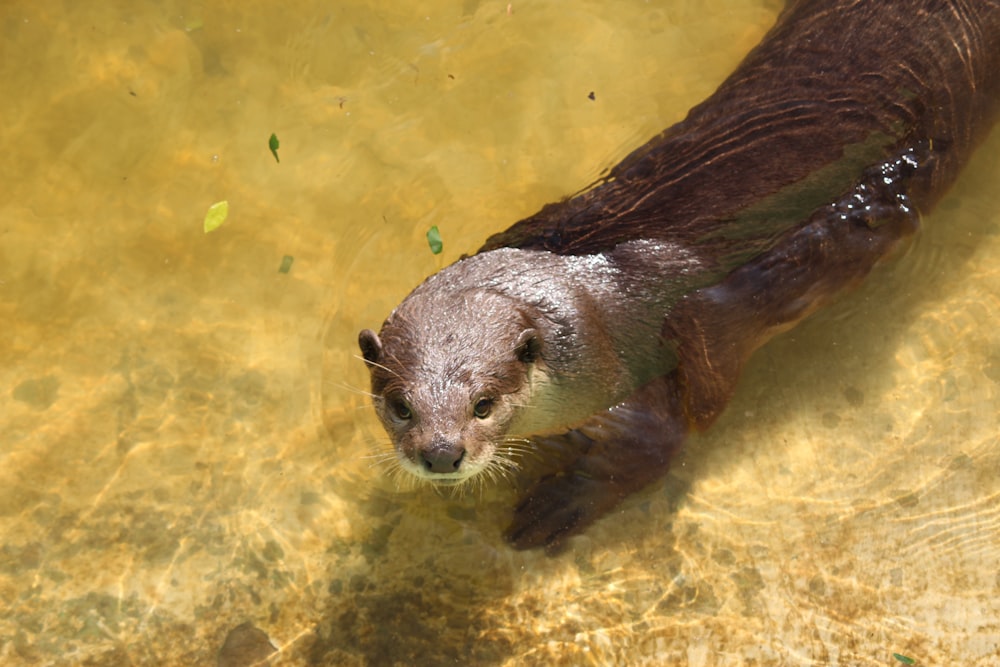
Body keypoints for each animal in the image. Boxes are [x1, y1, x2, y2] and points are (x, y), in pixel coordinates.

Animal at [360, 0, 1000, 552]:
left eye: (484, 404)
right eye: (400, 406)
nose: (442, 454)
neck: (585, 307)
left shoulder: (633, 394)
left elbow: (654, 449)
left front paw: (562, 502)